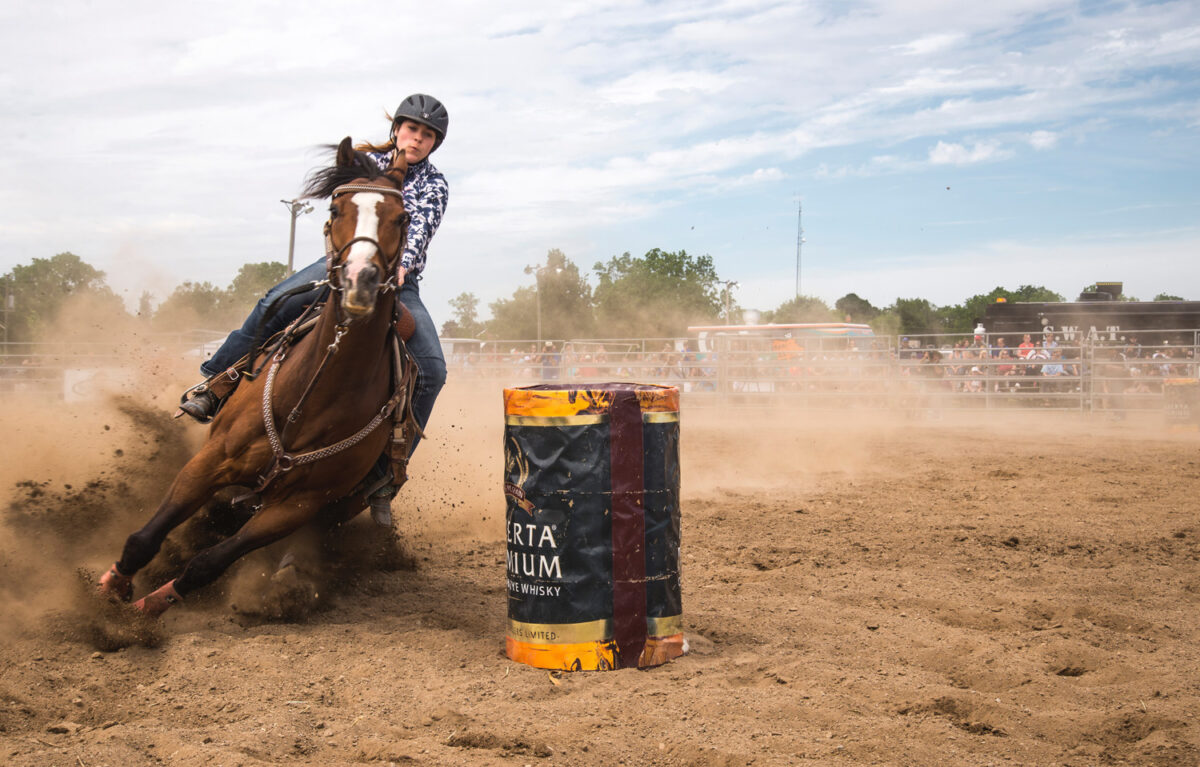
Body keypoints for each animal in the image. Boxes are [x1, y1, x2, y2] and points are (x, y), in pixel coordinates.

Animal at [98, 138, 417, 619]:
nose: (360, 281)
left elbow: (208, 563)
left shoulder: (298, 506)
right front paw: (110, 590)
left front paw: (147, 609)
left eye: (402, 217)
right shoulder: (211, 461)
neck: (314, 395)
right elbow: (144, 537)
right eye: (336, 208)